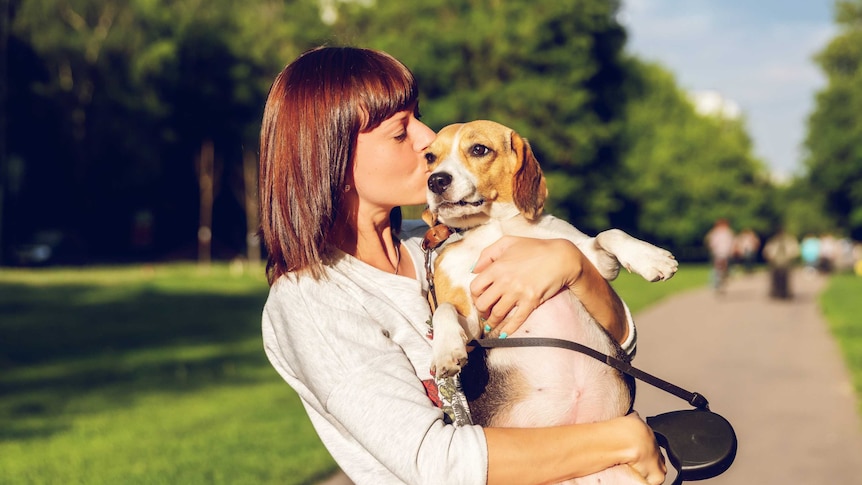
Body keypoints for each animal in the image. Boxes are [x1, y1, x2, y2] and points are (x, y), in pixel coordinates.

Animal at [422, 119, 680, 482]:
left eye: (479, 149)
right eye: (430, 157)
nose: (435, 180)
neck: (495, 227)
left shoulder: (591, 260)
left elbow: (609, 233)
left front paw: (651, 258)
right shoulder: (474, 324)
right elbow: (445, 310)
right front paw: (446, 351)